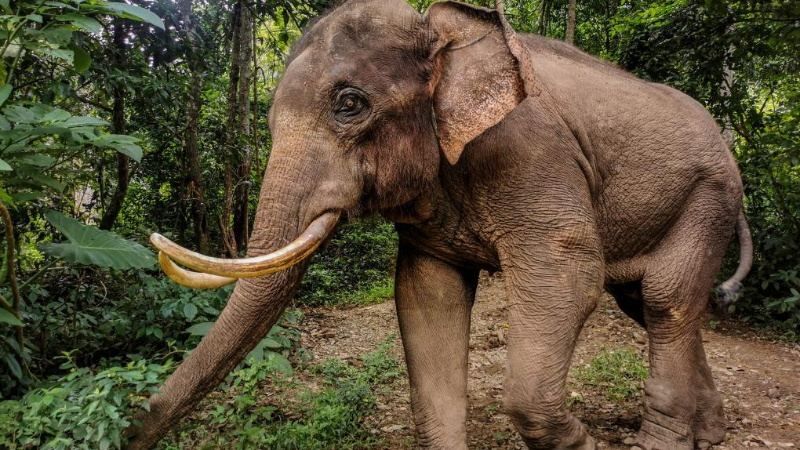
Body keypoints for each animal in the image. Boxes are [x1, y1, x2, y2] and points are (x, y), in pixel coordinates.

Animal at [128, 0, 753, 449]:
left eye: (349, 104)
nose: (131, 430)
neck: (443, 27)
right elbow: (427, 296)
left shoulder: (533, 154)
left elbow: (571, 273)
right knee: (651, 302)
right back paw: (709, 435)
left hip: (711, 194)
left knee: (664, 298)